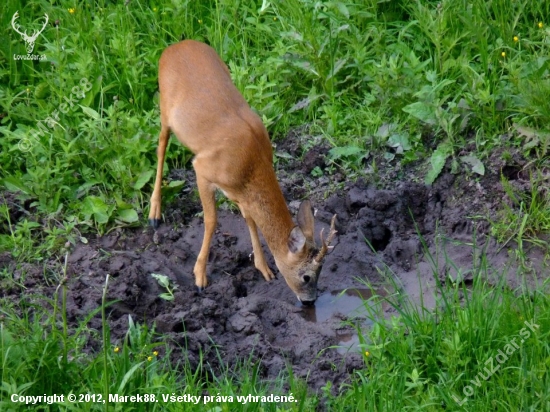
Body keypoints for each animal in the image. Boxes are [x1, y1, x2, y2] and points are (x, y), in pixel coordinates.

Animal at [149, 40, 336, 304]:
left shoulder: (240, 191)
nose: (310, 301)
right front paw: (199, 277)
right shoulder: (203, 170)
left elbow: (250, 218)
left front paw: (264, 269)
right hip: (165, 107)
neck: (252, 163)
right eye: (307, 276)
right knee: (161, 146)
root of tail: (174, 46)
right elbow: (211, 220)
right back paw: (154, 213)